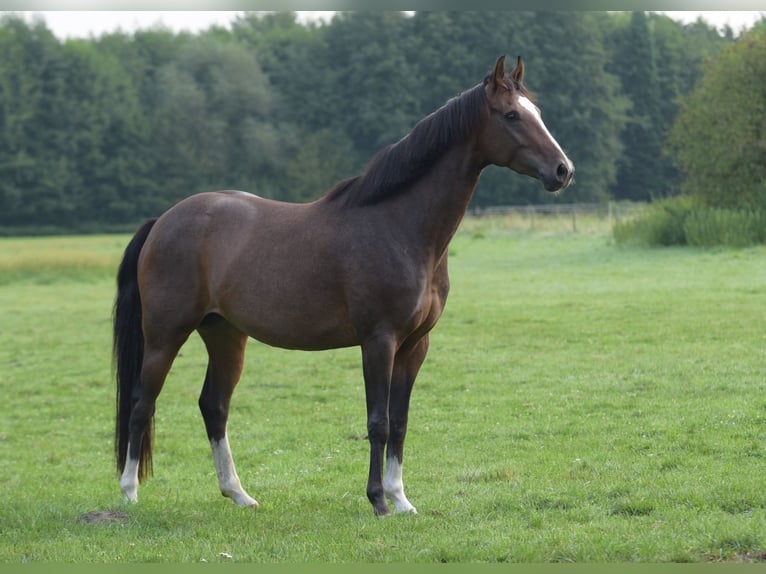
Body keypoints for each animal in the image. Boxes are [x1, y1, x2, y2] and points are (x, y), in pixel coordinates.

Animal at [112, 56, 568, 520]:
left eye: (536, 112)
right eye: (511, 115)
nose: (562, 170)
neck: (400, 226)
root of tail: (164, 220)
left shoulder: (415, 345)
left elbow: (400, 422)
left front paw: (401, 499)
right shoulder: (379, 341)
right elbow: (378, 421)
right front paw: (379, 500)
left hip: (225, 334)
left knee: (214, 406)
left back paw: (238, 493)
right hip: (165, 335)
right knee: (141, 402)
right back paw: (129, 492)